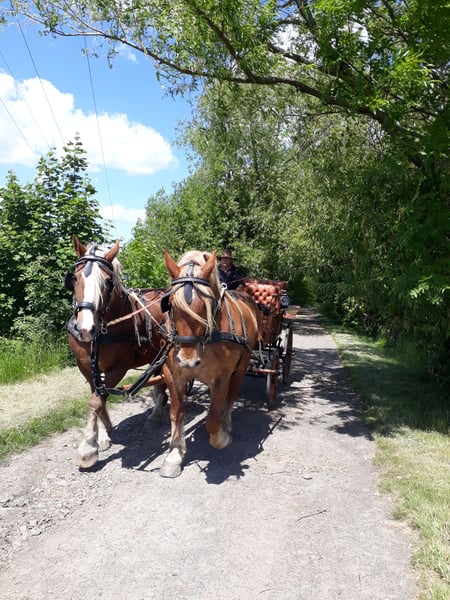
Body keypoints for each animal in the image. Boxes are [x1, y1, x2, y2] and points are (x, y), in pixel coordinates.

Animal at [64, 235, 167, 468]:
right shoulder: (85, 367)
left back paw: (157, 413)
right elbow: (98, 398)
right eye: (74, 278)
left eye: (107, 282)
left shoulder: (119, 367)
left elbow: (96, 400)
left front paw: (88, 447)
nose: (85, 329)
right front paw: (103, 435)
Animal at [159, 249, 262, 478]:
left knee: (231, 396)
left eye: (206, 305)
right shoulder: (173, 373)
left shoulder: (222, 377)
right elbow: (176, 412)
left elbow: (213, 420)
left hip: (241, 367)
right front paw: (174, 454)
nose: (187, 360)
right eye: (171, 305)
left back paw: (227, 424)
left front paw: (221, 438)